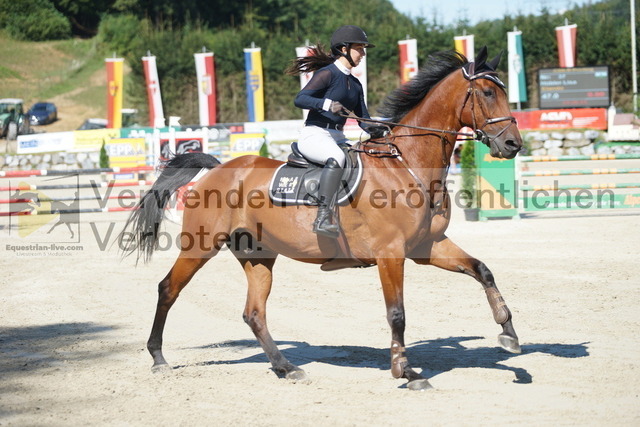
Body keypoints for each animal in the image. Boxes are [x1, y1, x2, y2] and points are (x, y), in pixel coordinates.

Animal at [121, 47, 523, 391]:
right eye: (488, 92)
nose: (513, 145)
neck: (407, 163)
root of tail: (220, 168)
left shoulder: (427, 246)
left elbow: (482, 270)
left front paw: (509, 334)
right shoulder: (390, 253)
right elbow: (397, 314)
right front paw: (406, 371)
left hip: (258, 255)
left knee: (254, 313)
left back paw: (286, 368)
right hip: (201, 245)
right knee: (168, 289)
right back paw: (158, 358)